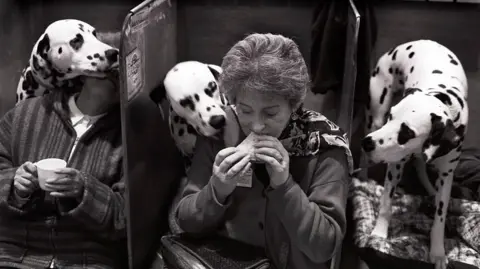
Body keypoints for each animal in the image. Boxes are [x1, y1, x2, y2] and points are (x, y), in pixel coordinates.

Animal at [360, 39, 468, 268]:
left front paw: (438, 252)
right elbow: (386, 203)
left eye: (407, 133)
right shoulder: (395, 165)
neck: (445, 101)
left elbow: (440, 216)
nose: (368, 143)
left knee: (421, 166)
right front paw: (379, 234)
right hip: (376, 114)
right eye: (392, 117)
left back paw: (429, 189)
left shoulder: (447, 175)